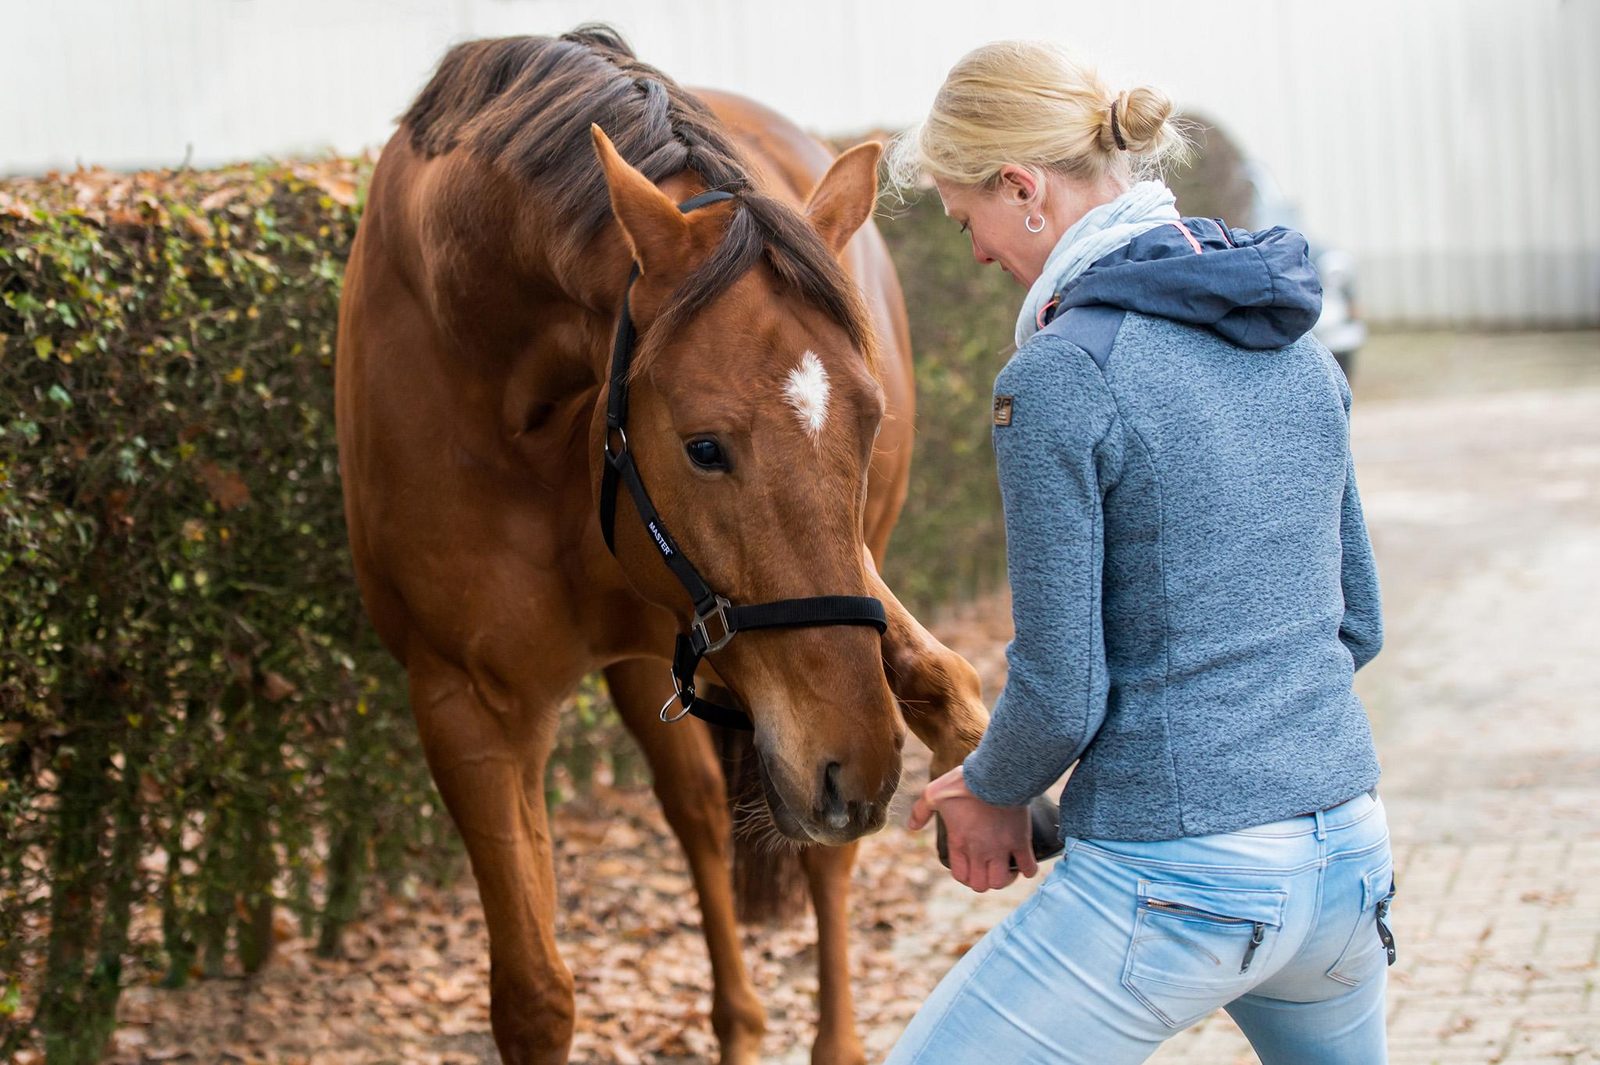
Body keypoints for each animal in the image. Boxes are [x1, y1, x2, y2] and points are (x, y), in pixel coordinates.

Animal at [334, 26, 985, 1061]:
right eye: (704, 448)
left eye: (869, 423)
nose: (857, 766)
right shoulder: (465, 706)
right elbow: (534, 993)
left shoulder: (855, 611)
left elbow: (950, 689)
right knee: (702, 813)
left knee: (808, 855)